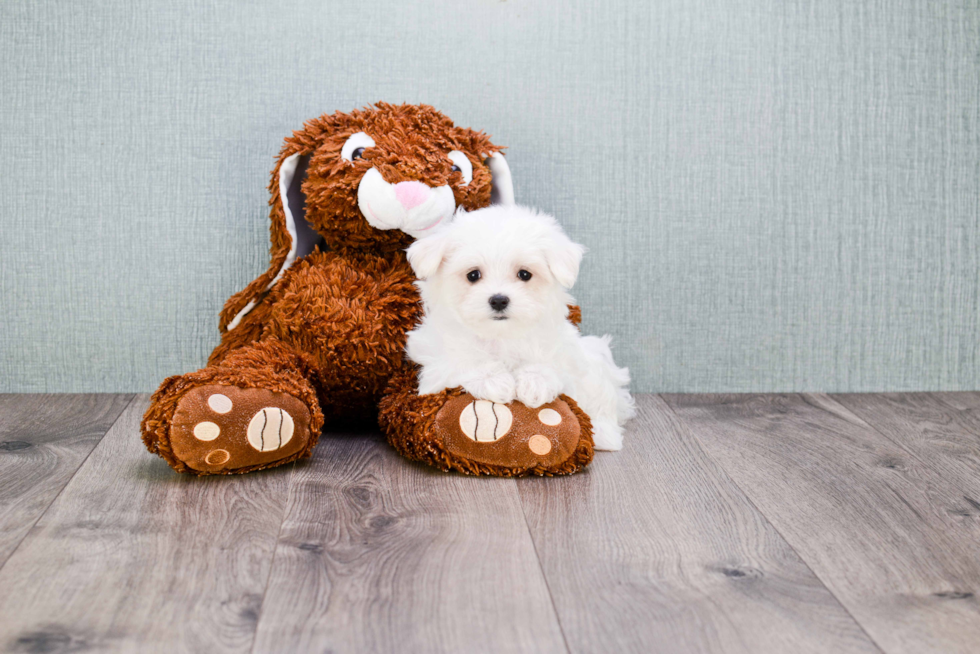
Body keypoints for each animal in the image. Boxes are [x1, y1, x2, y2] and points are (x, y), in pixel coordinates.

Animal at [404, 205, 636, 452]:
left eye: (524, 274)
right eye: (473, 275)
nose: (498, 300)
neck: (502, 336)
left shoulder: (564, 352)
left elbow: (551, 363)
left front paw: (535, 383)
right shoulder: (434, 361)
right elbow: (464, 358)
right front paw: (495, 380)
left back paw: (604, 435)